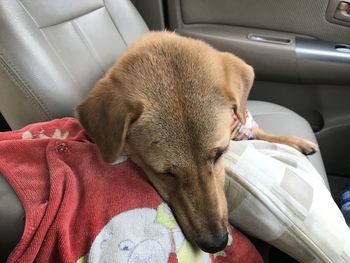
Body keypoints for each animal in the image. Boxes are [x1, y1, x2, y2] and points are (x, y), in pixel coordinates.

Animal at [75, 31, 316, 256]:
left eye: (220, 154)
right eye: (164, 173)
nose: (217, 244)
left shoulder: (238, 125)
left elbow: (264, 134)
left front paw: (296, 142)